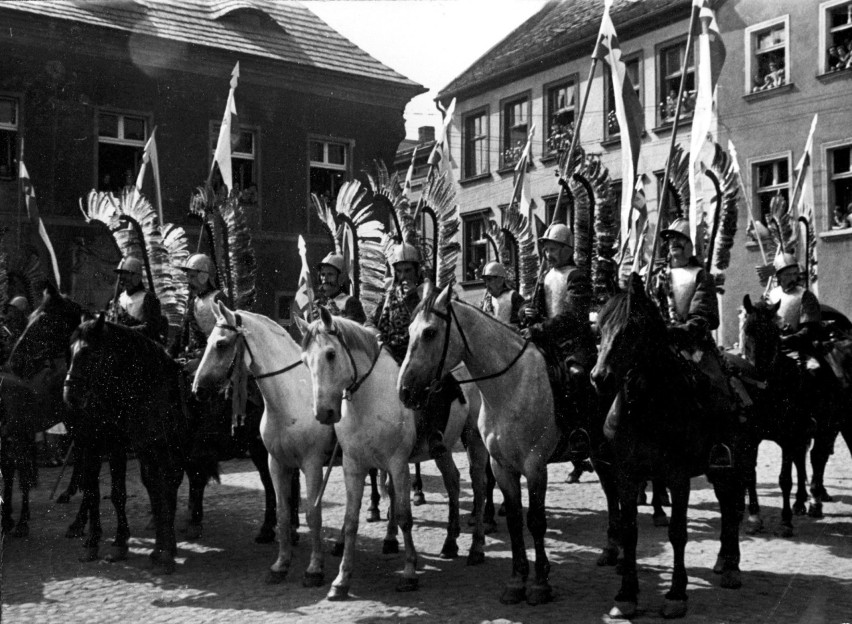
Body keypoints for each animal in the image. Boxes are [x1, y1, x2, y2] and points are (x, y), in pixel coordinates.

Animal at [63, 316, 188, 572]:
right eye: (69, 352)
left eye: (91, 353)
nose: (70, 396)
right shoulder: (100, 443)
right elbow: (98, 491)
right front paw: (98, 542)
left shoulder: (133, 445)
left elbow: (128, 491)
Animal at [298, 308, 486, 600]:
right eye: (305, 361)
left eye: (330, 353)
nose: (324, 413)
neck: (370, 399)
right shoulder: (354, 466)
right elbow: (351, 521)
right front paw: (341, 580)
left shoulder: (397, 464)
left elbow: (404, 516)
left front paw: (409, 573)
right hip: (442, 449)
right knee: (453, 481)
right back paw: (450, 542)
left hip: (474, 441)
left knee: (478, 485)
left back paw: (476, 547)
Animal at [588, 276, 744, 620]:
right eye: (599, 329)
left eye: (631, 329)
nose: (599, 378)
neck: (646, 407)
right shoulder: (626, 475)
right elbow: (629, 530)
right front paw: (627, 594)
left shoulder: (677, 477)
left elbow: (677, 532)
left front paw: (676, 594)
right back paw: (724, 562)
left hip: (729, 466)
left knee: (731, 509)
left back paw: (731, 567)